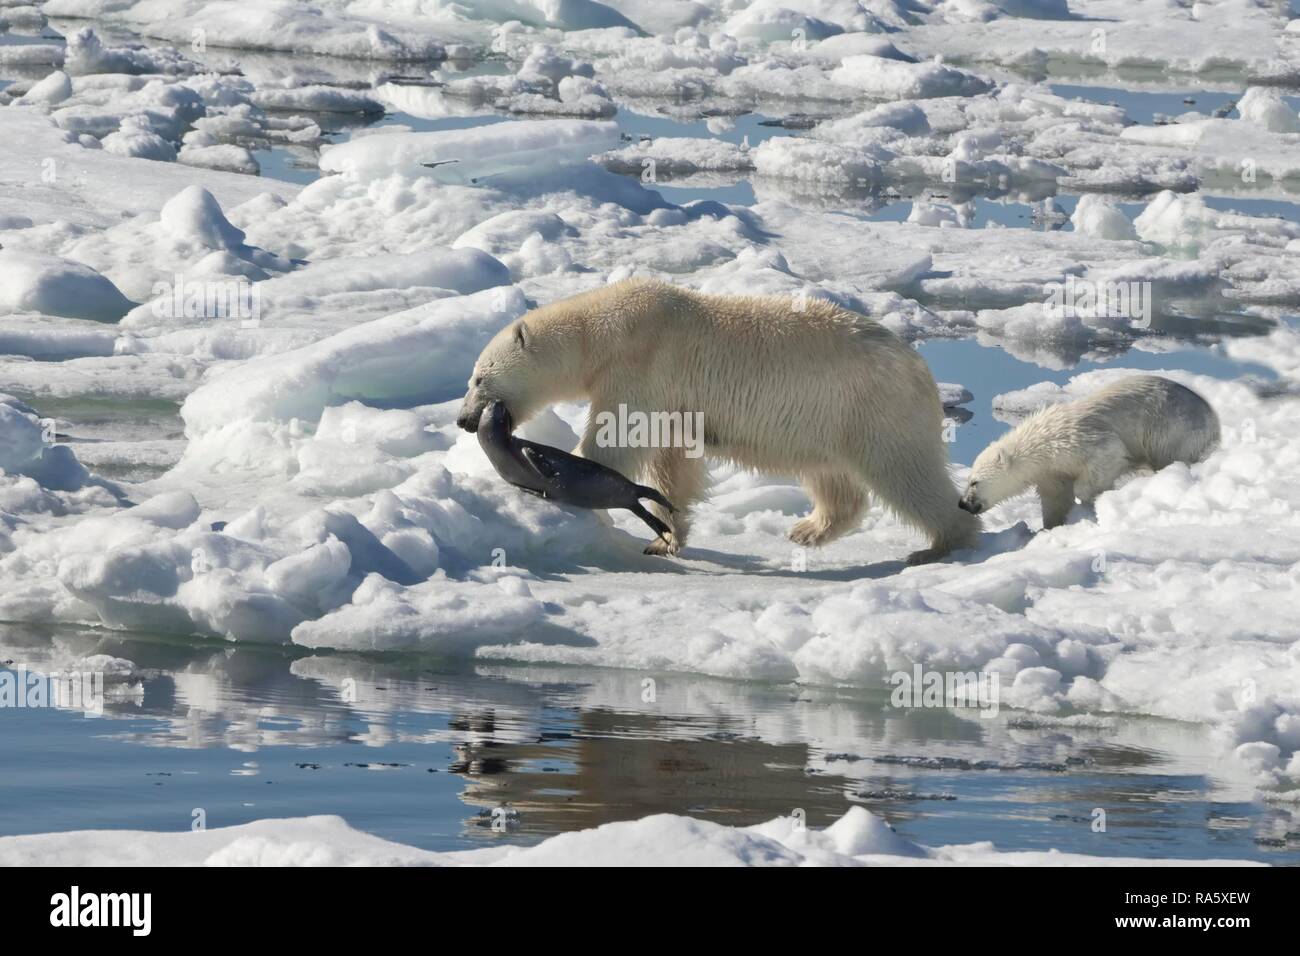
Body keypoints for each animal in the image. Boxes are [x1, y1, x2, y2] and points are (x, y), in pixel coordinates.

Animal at [455, 278, 979, 563]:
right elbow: (674, 464)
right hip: (828, 419)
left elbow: (617, 438)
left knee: (906, 473)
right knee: (831, 477)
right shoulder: (669, 399)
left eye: (478, 378)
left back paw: (940, 544)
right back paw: (808, 530)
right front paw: (666, 537)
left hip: (874, 409)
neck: (607, 329)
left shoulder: (641, 365)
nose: (463, 419)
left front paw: (561, 474)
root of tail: (920, 368)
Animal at [959, 375, 1220, 529]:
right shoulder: (1050, 471)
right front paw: (1050, 526)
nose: (962, 504)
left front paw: (1091, 499)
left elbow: (1107, 457)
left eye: (974, 482)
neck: (1041, 443)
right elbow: (1055, 497)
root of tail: (1211, 415)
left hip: (1171, 427)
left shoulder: (1079, 442)